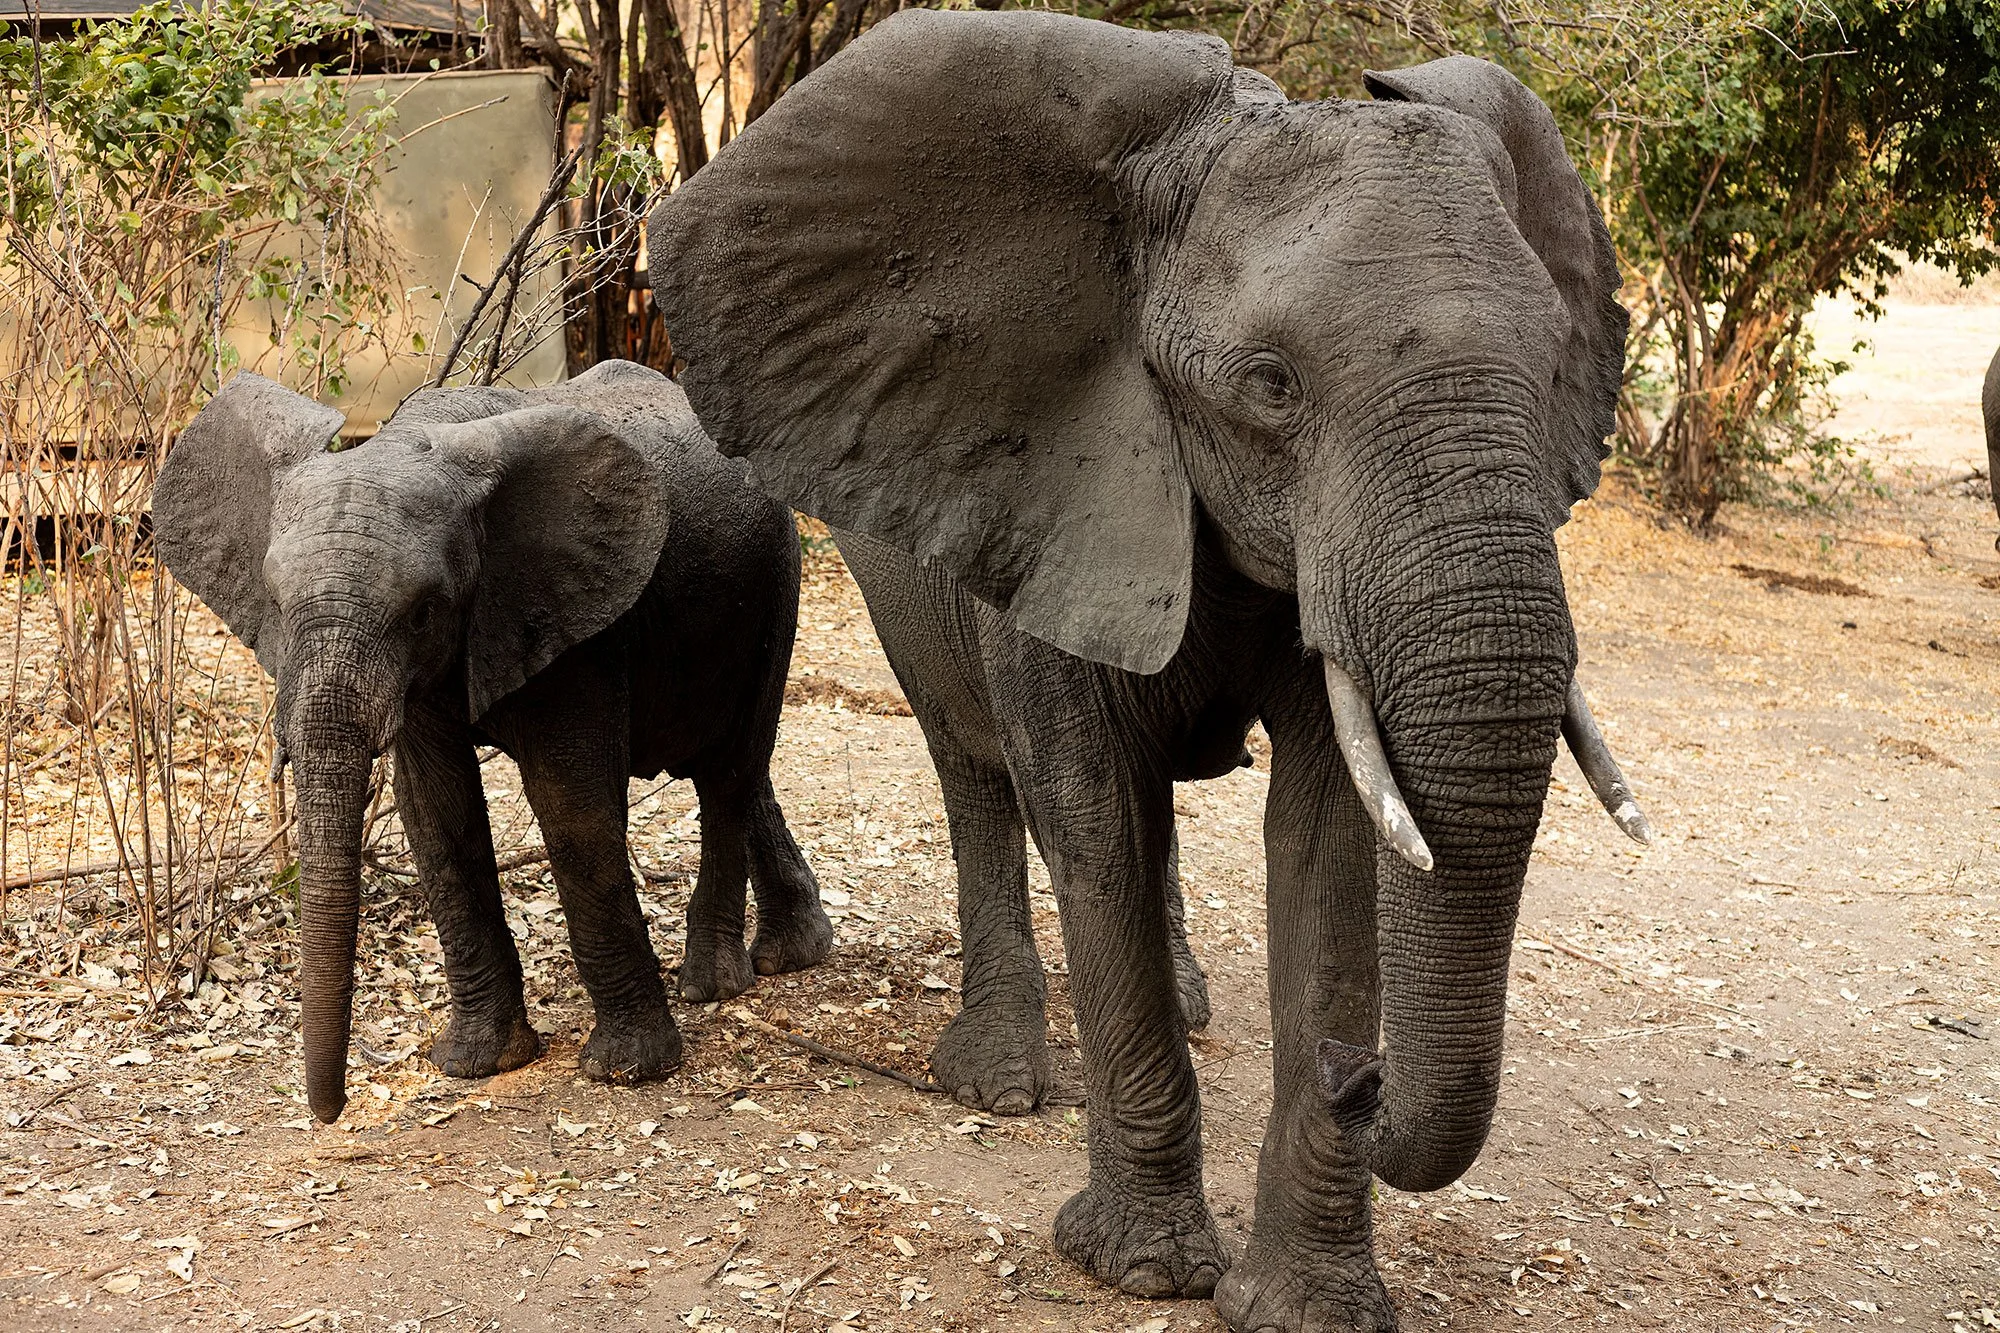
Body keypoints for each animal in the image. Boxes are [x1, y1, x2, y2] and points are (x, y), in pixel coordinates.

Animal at [151, 359, 833, 1124]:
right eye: (273, 601)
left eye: (423, 611)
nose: (331, 1110)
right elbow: (438, 813)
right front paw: (478, 1063)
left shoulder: (575, 619)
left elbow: (571, 808)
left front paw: (629, 1071)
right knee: (742, 769)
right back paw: (792, 952)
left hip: (775, 580)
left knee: (729, 770)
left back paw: (714, 985)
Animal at [650, 12, 1655, 1328]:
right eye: (1269, 386)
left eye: (1548, 374)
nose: (1358, 1075)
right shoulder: (1053, 485)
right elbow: (1093, 815)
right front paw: (1139, 1269)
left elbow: (1331, 836)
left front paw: (1304, 1305)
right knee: (973, 769)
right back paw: (997, 1077)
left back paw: (1190, 1004)